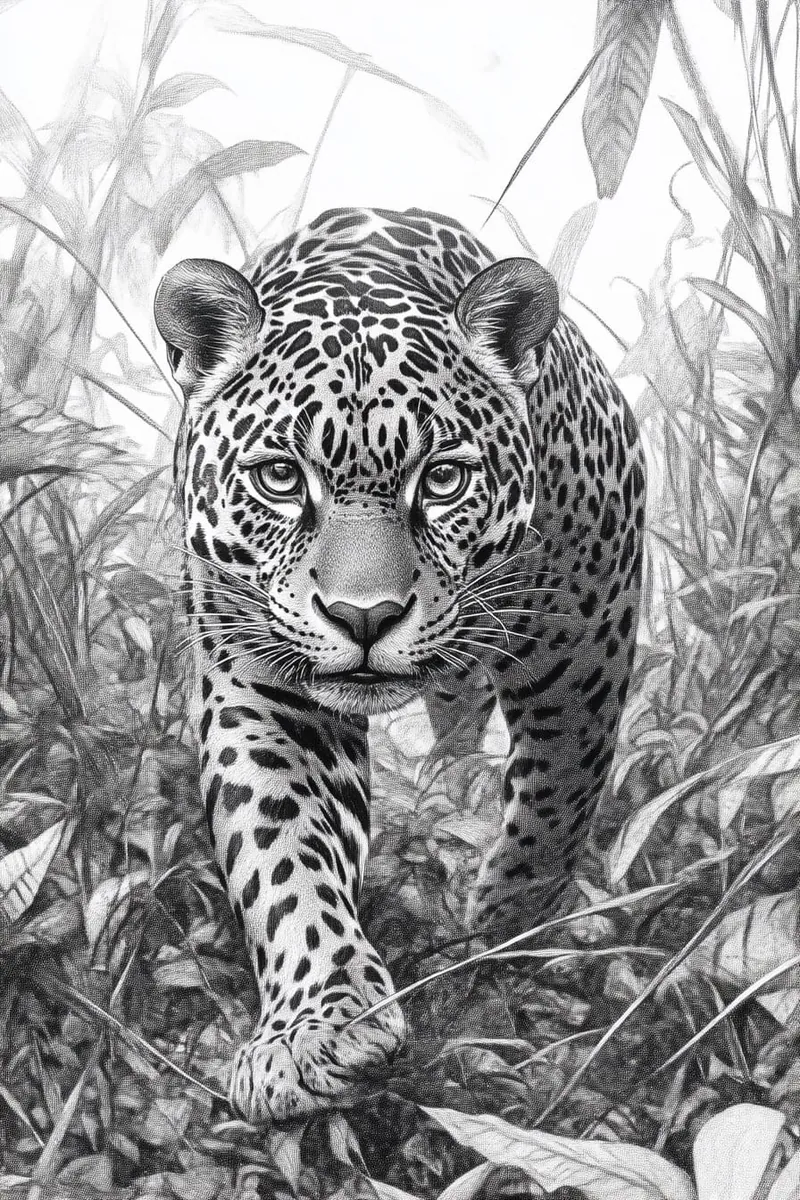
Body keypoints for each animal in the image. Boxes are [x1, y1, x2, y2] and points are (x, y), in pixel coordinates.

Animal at [153, 206, 646, 1125]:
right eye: (281, 478)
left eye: (443, 478)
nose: (365, 616)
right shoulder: (266, 683)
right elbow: (284, 847)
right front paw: (318, 1032)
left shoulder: (583, 641)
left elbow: (559, 795)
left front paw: (505, 928)